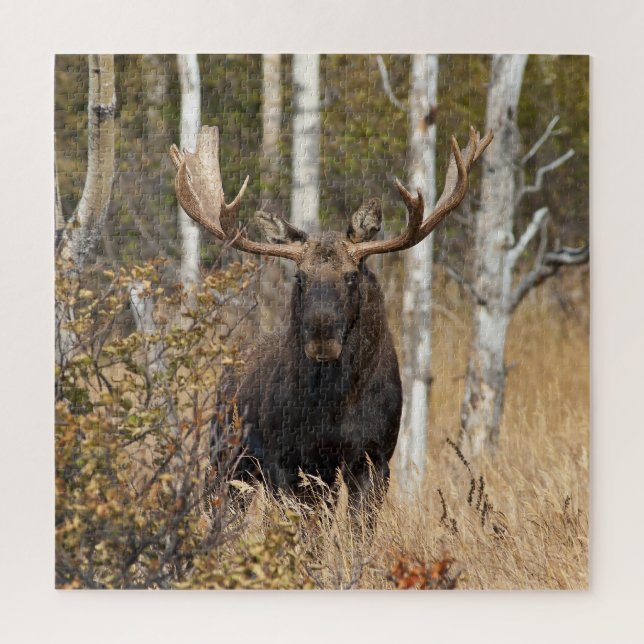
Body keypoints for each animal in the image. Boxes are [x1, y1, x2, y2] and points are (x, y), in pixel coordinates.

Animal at [170, 125, 492, 522]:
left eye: (352, 276)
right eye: (300, 277)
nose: (322, 338)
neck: (336, 406)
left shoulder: (375, 458)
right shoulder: (294, 463)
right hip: (226, 455)